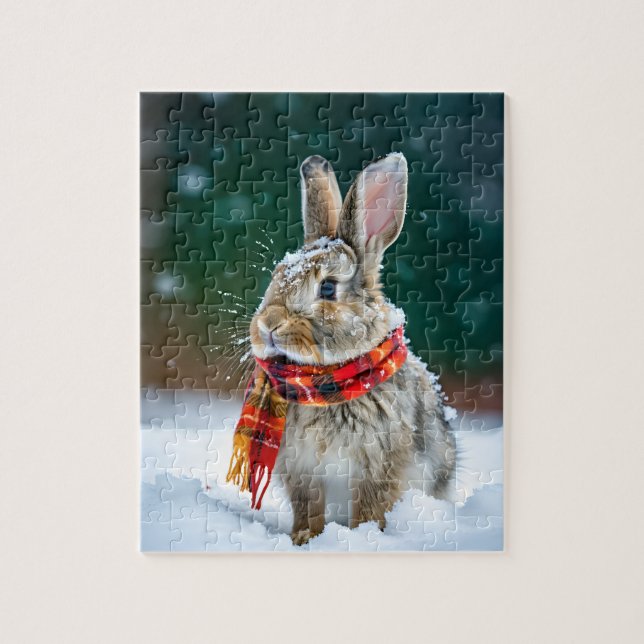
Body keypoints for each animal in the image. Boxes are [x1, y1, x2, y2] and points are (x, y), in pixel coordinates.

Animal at [248, 152, 456, 545]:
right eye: (277, 274)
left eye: (328, 288)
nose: (267, 326)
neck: (328, 381)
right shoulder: (303, 470)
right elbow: (308, 509)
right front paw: (304, 539)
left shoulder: (377, 467)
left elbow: (369, 509)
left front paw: (363, 538)